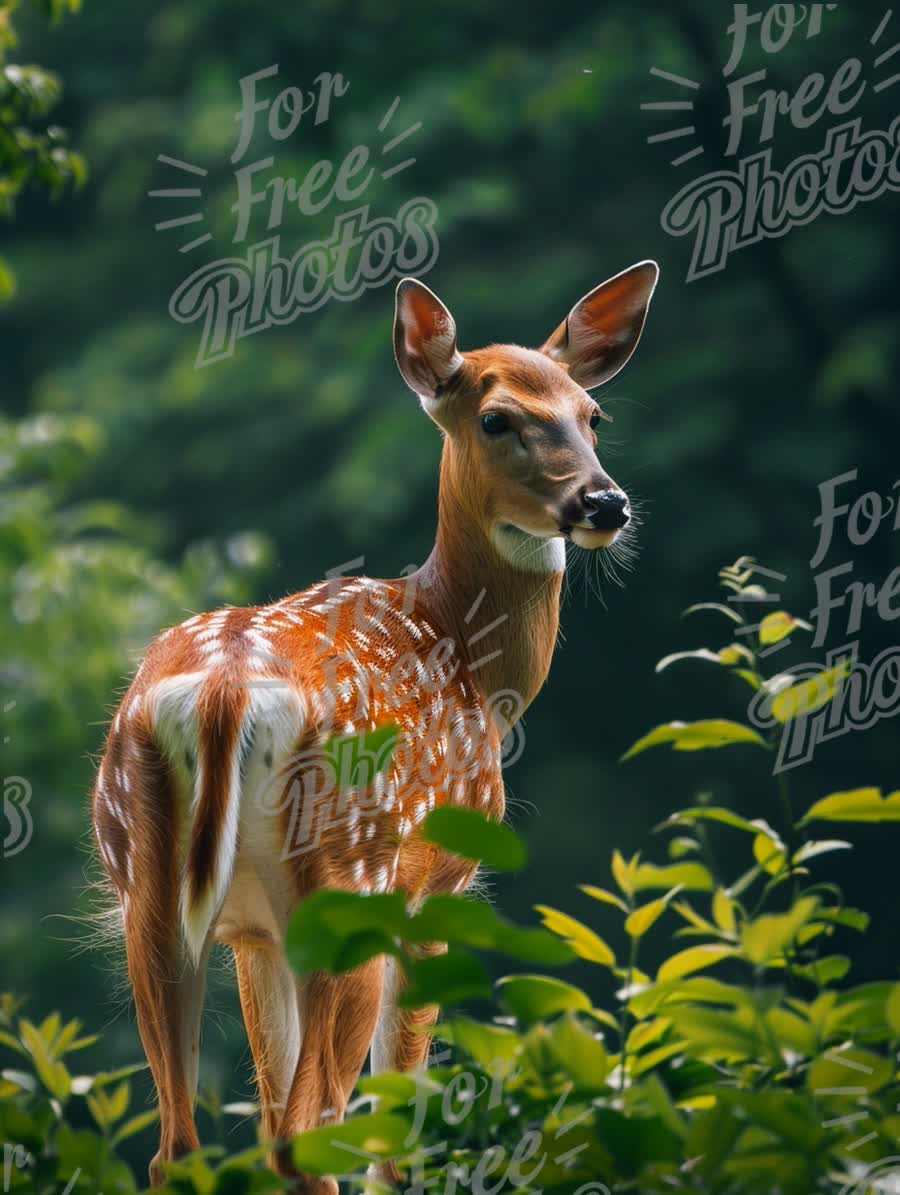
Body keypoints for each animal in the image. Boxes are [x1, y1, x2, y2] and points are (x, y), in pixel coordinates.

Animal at [91, 259, 654, 1185]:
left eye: (592, 414)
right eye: (498, 418)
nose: (603, 504)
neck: (474, 662)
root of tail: (225, 689)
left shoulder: (252, 931)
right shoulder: (441, 881)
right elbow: (396, 1125)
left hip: (147, 880)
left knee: (184, 1147)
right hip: (354, 876)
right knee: (307, 1133)